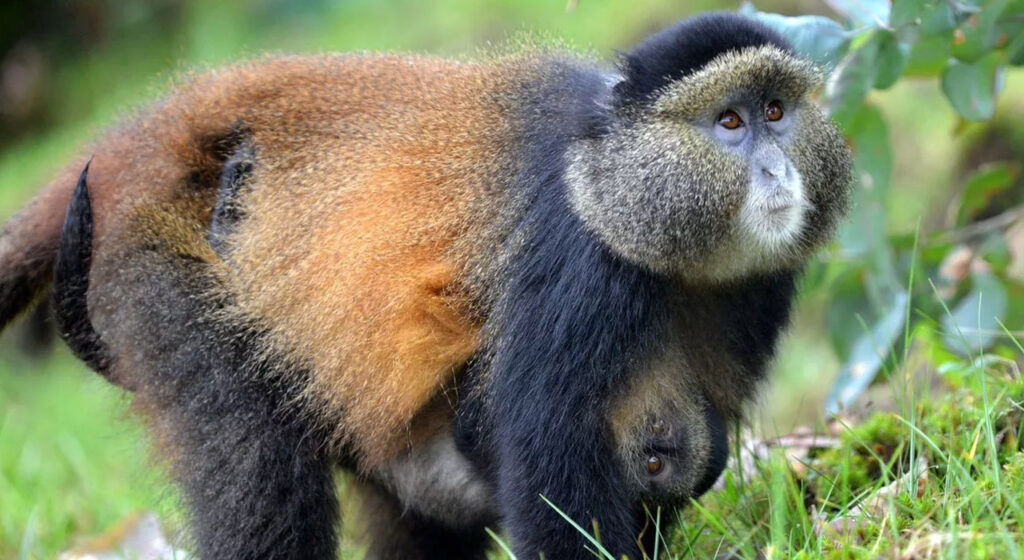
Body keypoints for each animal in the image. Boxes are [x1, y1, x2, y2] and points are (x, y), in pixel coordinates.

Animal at [0, 12, 852, 560]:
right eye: (729, 123)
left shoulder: (757, 291)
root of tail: (143, 138)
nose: (776, 173)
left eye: (777, 111)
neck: (612, 183)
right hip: (160, 275)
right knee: (260, 493)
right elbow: (549, 465)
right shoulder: (578, 272)